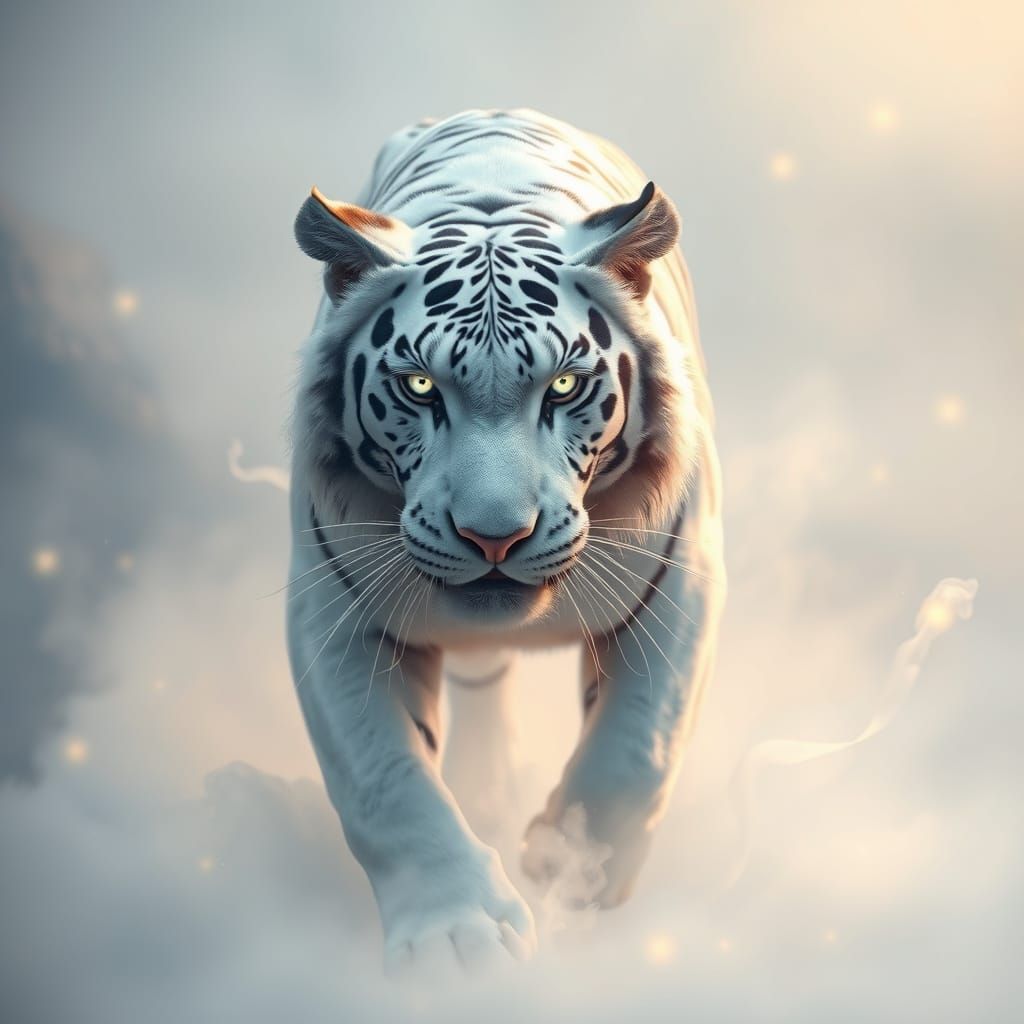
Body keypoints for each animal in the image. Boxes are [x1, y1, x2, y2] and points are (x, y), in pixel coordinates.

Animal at [286, 108, 724, 973]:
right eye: (420, 386)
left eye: (565, 385)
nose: (495, 537)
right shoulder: (336, 610)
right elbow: (384, 780)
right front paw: (457, 940)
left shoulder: (680, 575)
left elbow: (638, 746)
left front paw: (573, 868)